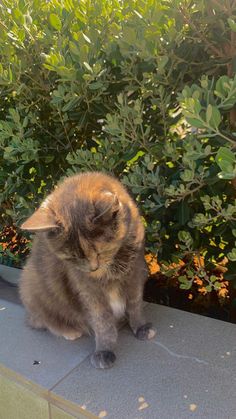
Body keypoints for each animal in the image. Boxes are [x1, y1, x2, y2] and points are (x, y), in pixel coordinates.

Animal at [19, 172, 157, 370]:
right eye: (71, 257)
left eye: (101, 251)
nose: (93, 268)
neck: (111, 269)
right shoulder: (85, 286)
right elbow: (101, 319)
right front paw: (104, 351)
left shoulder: (136, 272)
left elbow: (135, 303)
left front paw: (141, 327)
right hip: (31, 284)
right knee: (39, 320)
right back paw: (69, 331)